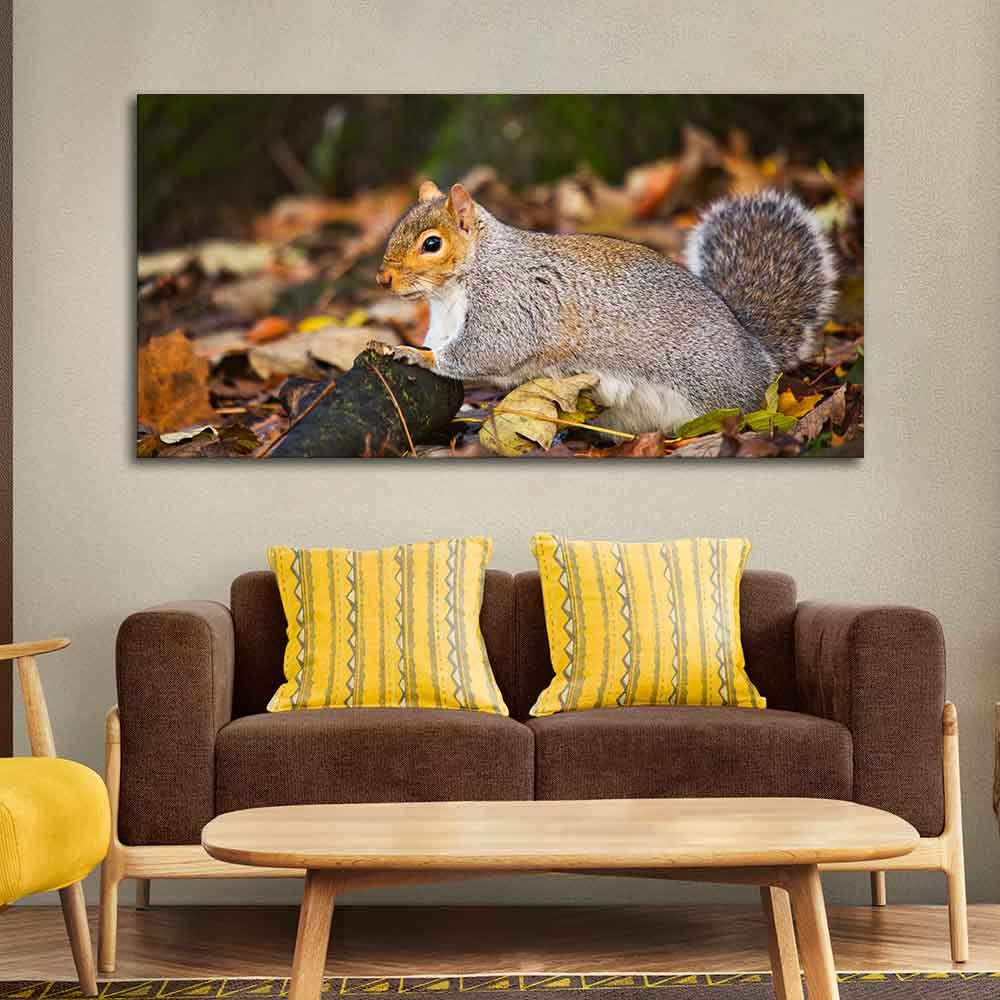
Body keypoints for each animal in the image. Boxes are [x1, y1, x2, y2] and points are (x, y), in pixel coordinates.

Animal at [376, 179, 836, 434]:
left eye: (431, 244)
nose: (383, 279)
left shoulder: (511, 302)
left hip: (717, 390)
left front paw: (413, 353)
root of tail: (756, 351)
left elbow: (487, 350)